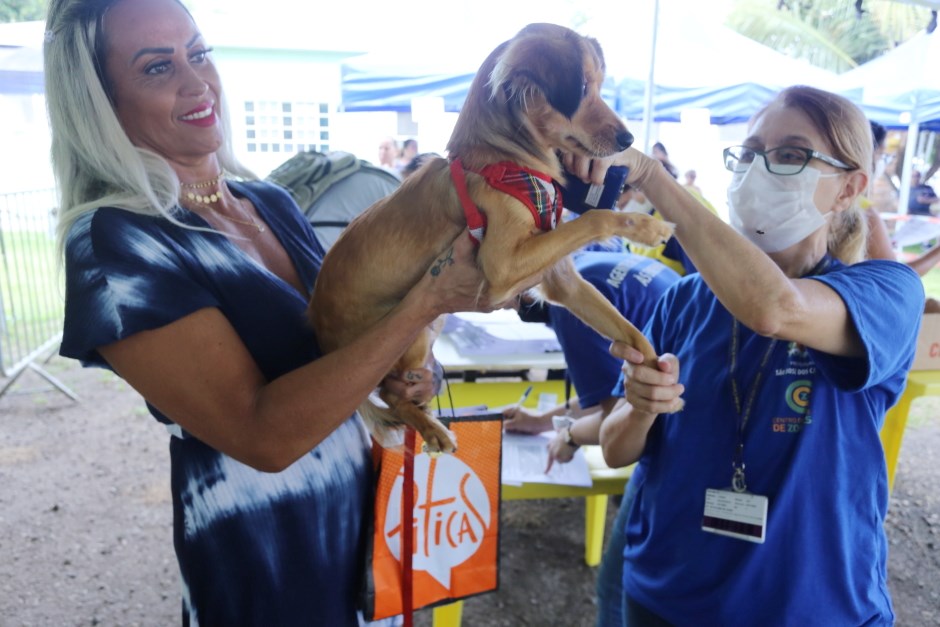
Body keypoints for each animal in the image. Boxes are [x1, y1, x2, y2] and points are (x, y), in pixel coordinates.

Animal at [312, 23, 672, 452]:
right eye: (584, 87)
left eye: (600, 86)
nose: (628, 140)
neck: (509, 160)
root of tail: (319, 330)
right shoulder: (502, 266)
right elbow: (594, 218)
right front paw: (648, 227)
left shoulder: (561, 280)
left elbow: (628, 329)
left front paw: (655, 385)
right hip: (407, 336)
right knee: (390, 395)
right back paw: (431, 429)